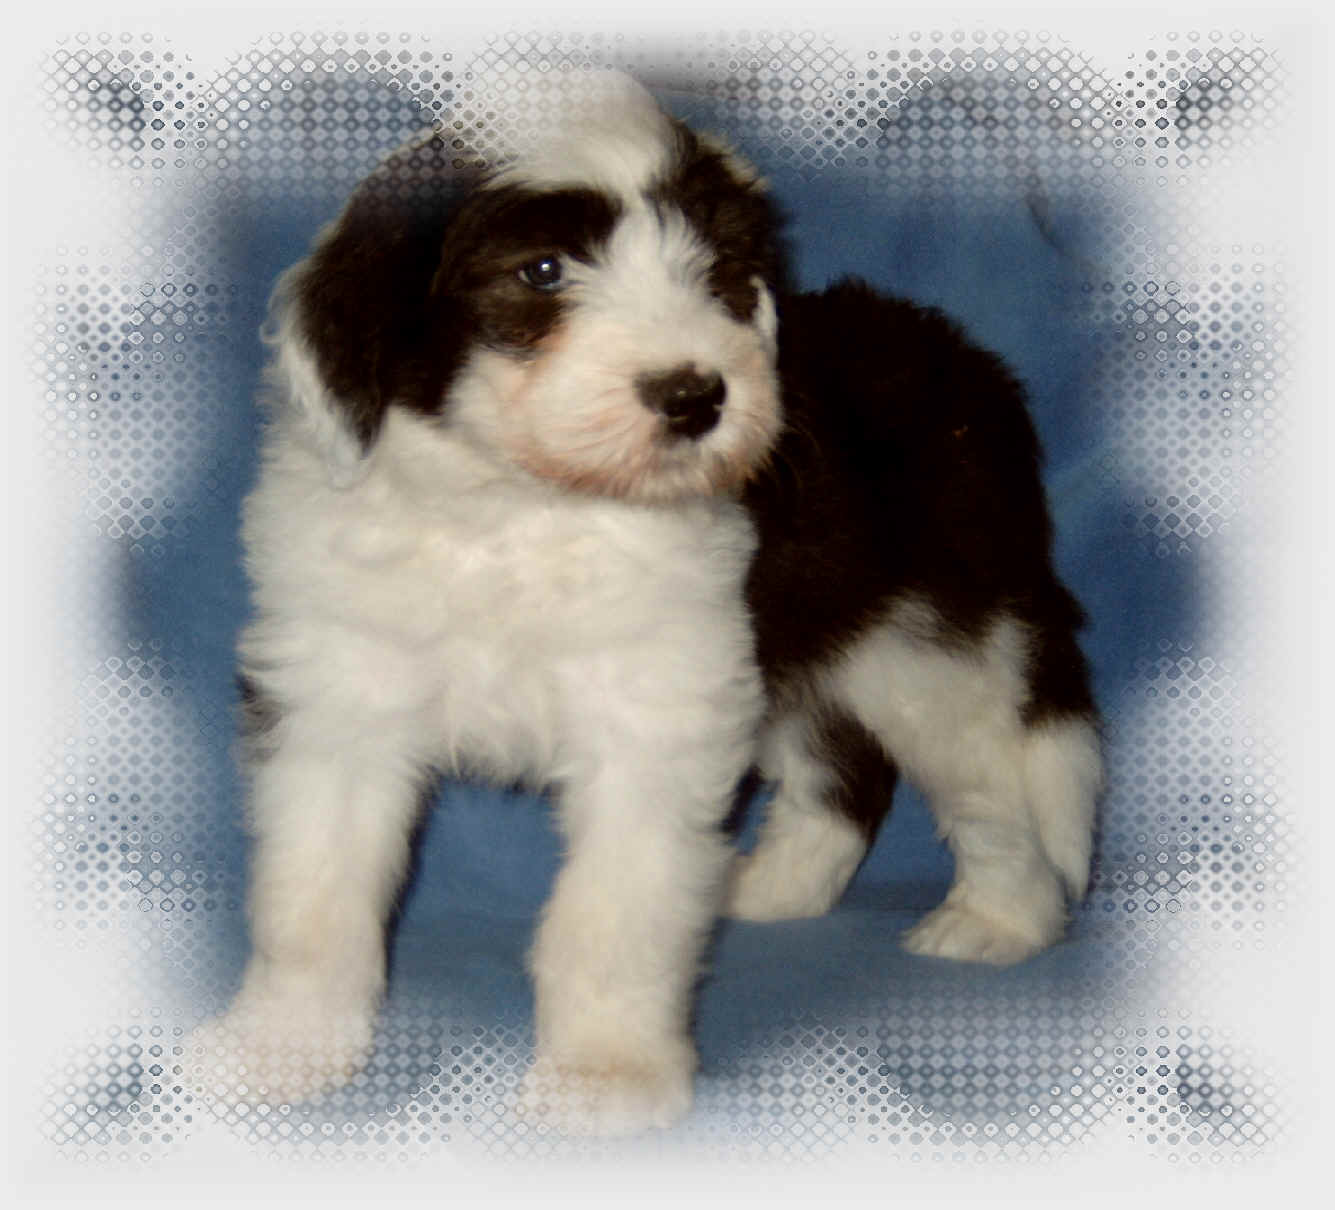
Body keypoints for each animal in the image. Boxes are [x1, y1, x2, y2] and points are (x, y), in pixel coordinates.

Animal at [187, 72, 1102, 1136]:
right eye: (541, 270)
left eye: (720, 272)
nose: (695, 397)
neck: (521, 511)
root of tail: (963, 364)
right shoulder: (341, 696)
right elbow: (312, 895)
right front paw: (278, 1050)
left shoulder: (653, 718)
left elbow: (612, 916)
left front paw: (604, 1078)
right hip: (796, 646)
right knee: (839, 775)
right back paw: (771, 888)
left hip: (930, 653)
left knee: (993, 790)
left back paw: (1001, 921)